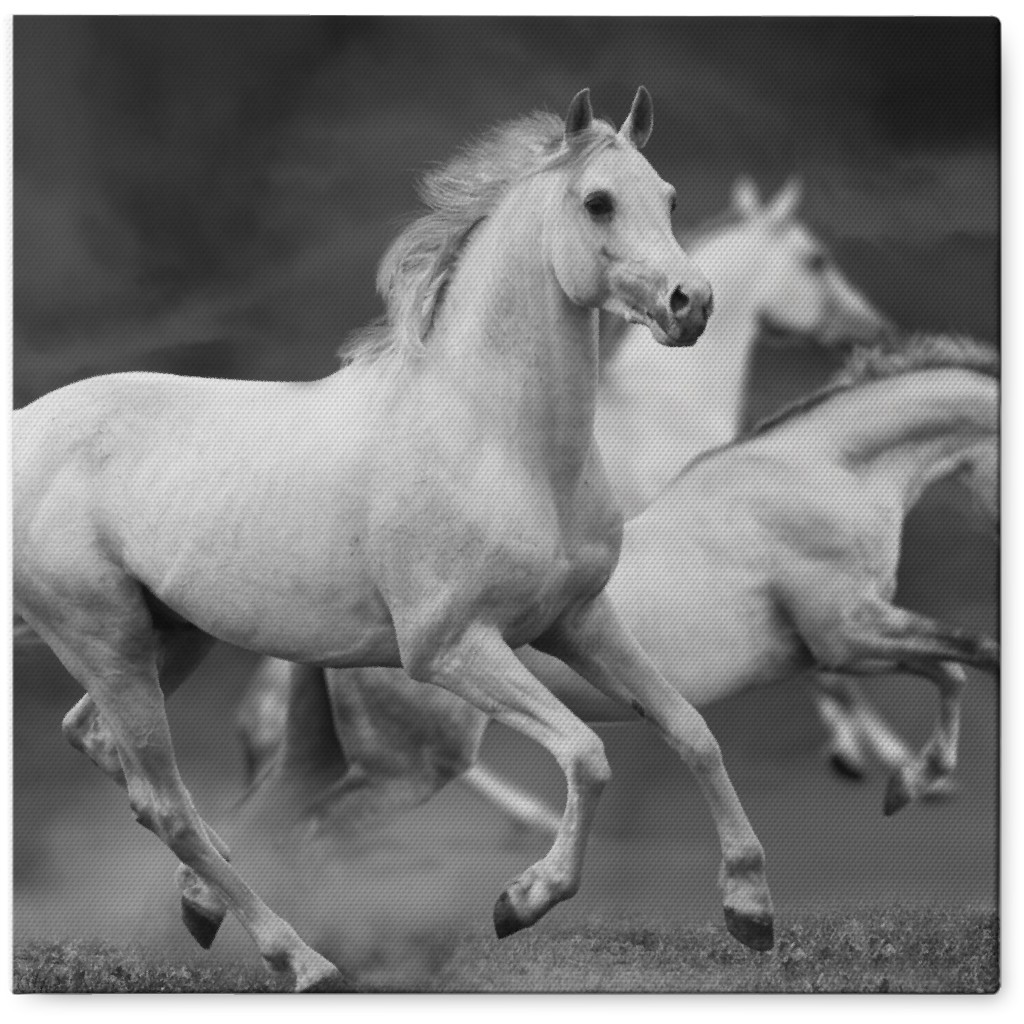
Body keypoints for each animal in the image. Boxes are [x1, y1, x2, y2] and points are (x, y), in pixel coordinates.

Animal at [14, 90, 774, 991]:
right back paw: (301, 958)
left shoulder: (579, 621)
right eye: (597, 202)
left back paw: (206, 903)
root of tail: (23, 430)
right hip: (107, 641)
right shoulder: (452, 648)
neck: (497, 441)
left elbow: (692, 729)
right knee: (166, 802)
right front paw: (522, 901)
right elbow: (587, 754)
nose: (691, 304)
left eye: (669, 198)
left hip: (173, 636)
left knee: (107, 749)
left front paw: (750, 910)